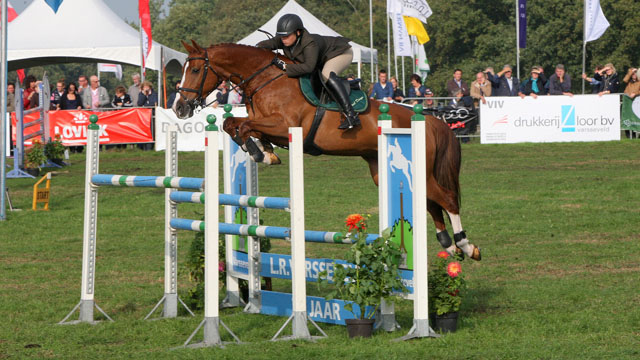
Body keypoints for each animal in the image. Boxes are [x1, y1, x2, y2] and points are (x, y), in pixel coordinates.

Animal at [172, 40, 478, 260]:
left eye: (196, 70)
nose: (179, 107)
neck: (267, 79)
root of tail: (428, 120)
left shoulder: (285, 126)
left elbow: (241, 124)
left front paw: (260, 153)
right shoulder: (266, 124)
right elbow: (233, 124)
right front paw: (265, 152)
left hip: (420, 171)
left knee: (447, 199)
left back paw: (466, 245)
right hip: (388, 171)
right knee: (431, 204)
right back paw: (449, 246)